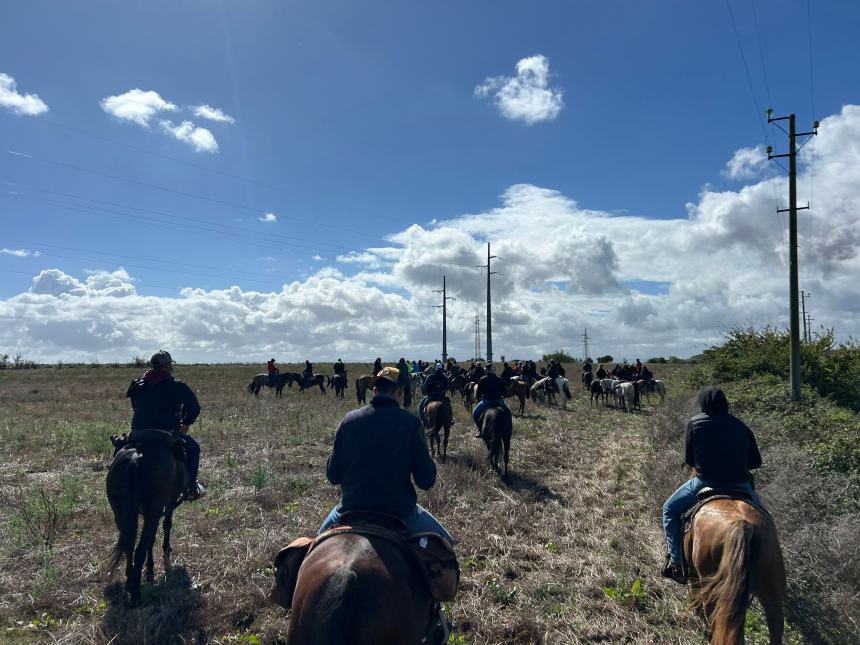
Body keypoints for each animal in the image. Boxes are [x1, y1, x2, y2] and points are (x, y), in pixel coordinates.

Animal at [106, 432, 186, 604]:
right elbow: (166, 526)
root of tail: (134, 461)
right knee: (139, 549)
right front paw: (164, 550)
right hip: (153, 513)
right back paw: (135, 594)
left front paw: (149, 570)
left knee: (129, 545)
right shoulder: (167, 505)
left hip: (120, 515)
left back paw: (130, 580)